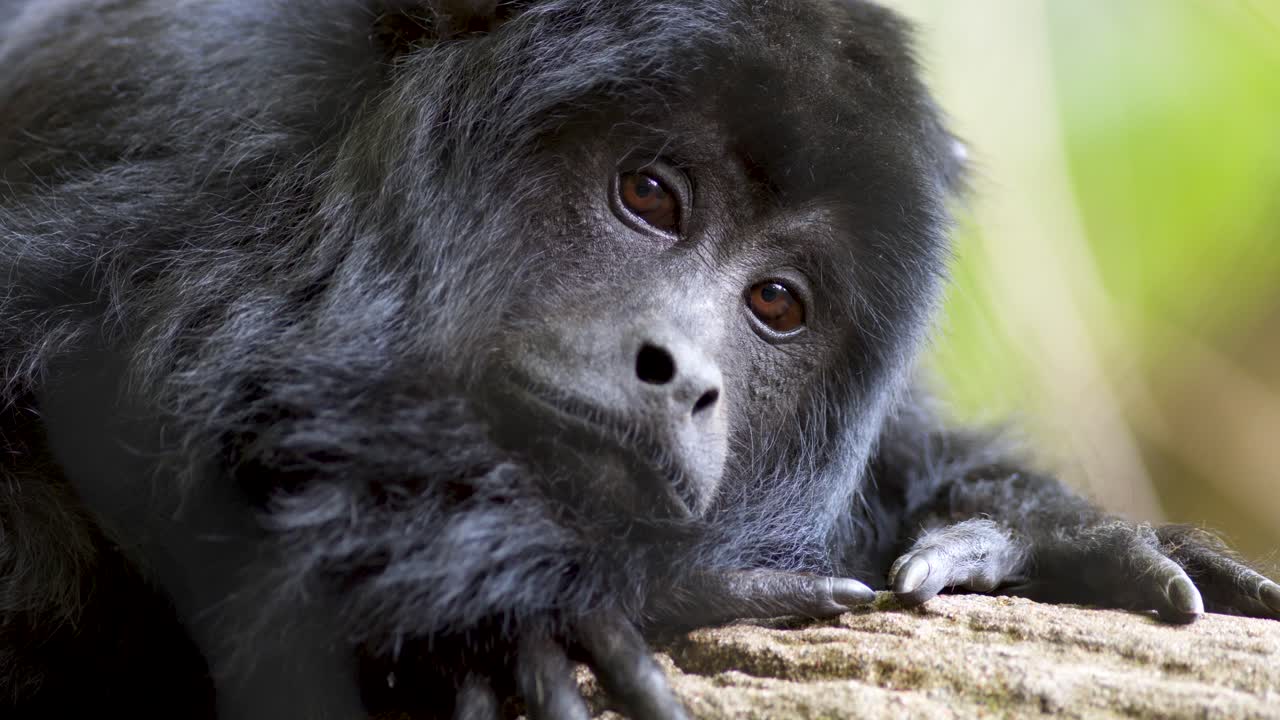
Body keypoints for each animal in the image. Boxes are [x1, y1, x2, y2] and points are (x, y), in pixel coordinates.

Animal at [1, 1, 1276, 718]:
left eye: (775, 303)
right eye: (650, 194)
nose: (681, 369)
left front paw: (1036, 533)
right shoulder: (189, 101)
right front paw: (560, 606)